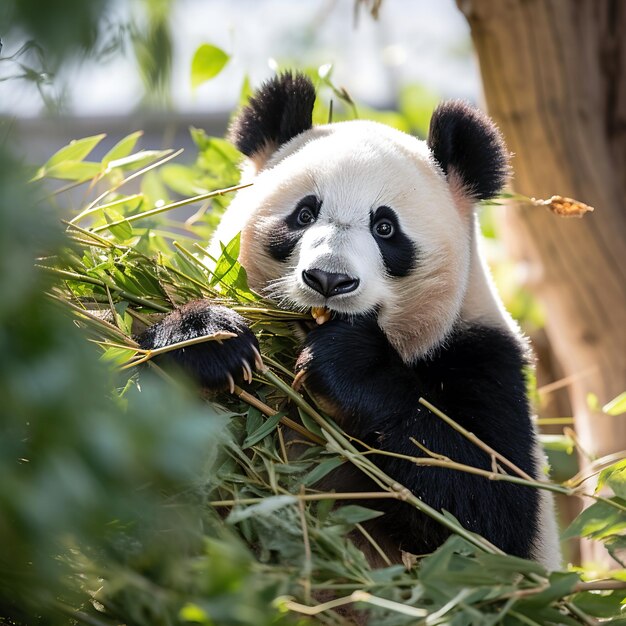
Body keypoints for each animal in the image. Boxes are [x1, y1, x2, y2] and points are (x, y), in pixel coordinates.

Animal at [141, 70, 560, 568]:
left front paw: (346, 365)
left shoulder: (483, 358)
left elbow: (487, 515)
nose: (329, 279)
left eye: (385, 228)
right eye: (304, 214)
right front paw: (205, 338)